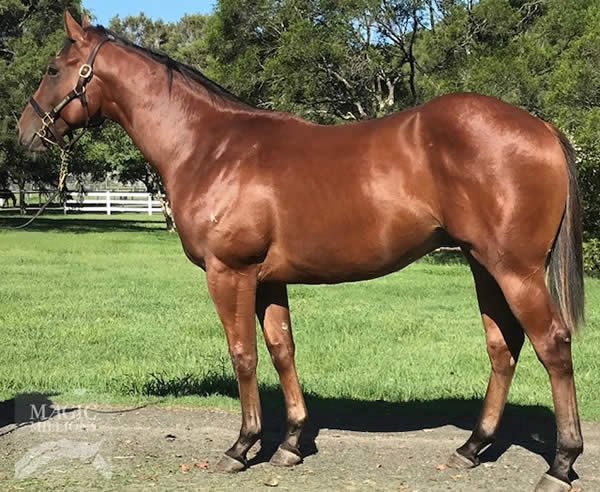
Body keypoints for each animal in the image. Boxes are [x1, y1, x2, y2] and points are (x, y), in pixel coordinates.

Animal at [17, 12, 584, 491]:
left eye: (52, 68)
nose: (24, 132)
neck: (211, 147)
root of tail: (541, 127)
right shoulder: (268, 278)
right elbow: (281, 349)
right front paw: (290, 443)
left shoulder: (230, 273)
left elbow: (243, 354)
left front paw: (242, 446)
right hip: (482, 264)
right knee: (503, 346)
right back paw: (471, 447)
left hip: (515, 270)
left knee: (552, 345)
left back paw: (560, 463)